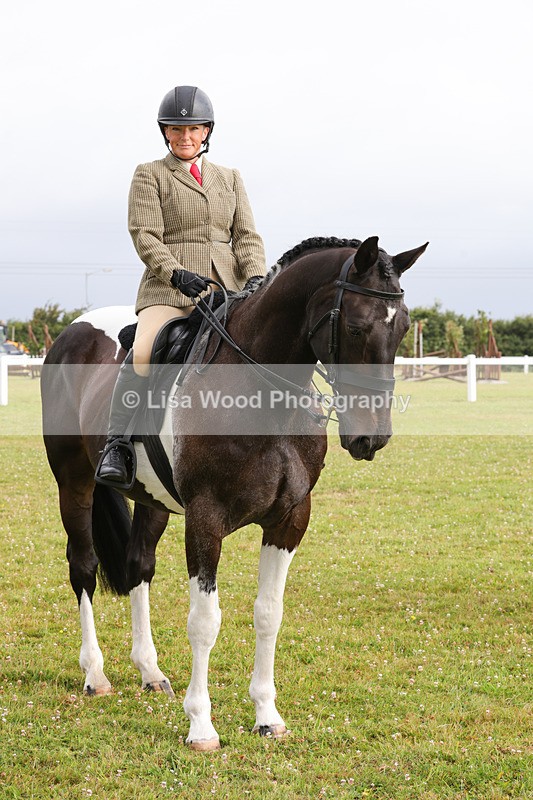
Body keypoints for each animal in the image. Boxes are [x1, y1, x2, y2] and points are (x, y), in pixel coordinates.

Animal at [41, 235, 427, 751]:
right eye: (357, 326)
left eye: (402, 327)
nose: (372, 438)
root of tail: (71, 332)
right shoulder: (205, 518)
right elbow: (205, 621)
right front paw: (201, 726)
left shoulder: (289, 519)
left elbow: (269, 613)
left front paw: (267, 716)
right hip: (74, 482)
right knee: (83, 566)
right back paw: (95, 675)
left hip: (153, 501)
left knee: (138, 564)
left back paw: (150, 672)